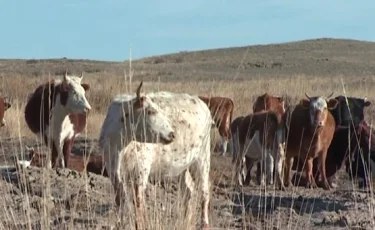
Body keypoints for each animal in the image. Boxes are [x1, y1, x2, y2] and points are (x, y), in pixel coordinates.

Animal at [98, 82, 213, 229]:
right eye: (151, 111)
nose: (172, 134)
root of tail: (201, 103)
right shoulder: (113, 171)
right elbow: (120, 199)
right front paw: (119, 224)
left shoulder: (140, 172)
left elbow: (138, 202)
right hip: (182, 166)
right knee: (188, 191)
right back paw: (185, 221)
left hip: (202, 158)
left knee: (204, 192)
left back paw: (204, 224)